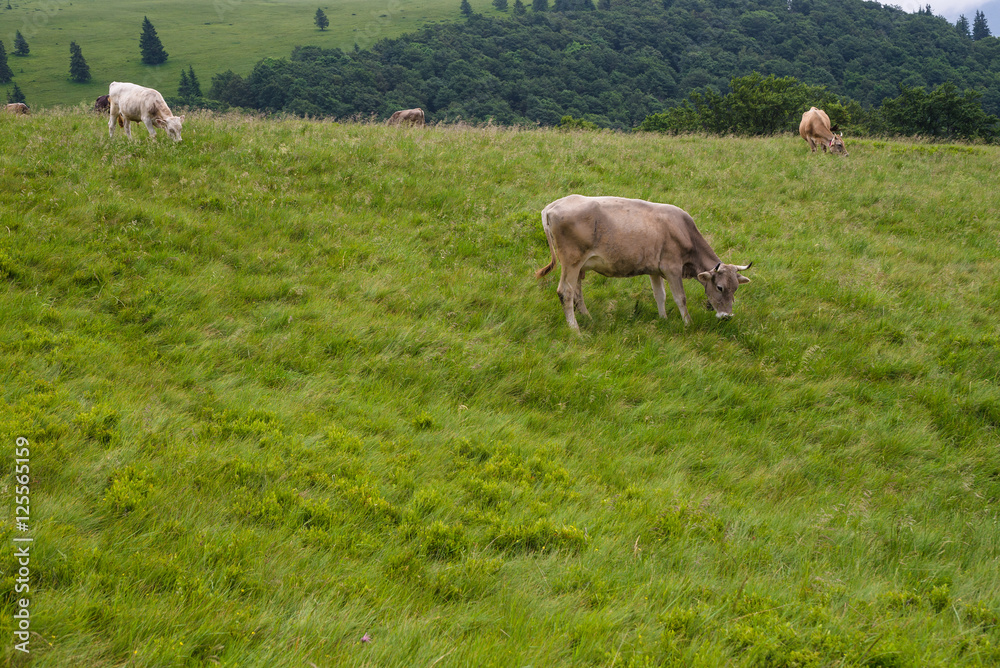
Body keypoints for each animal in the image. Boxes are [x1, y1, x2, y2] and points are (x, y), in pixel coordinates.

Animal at [540, 193, 752, 332]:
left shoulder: (655, 270)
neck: (684, 231)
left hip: (579, 265)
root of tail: (553, 205)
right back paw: (574, 329)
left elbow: (660, 295)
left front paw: (663, 319)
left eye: (735, 289)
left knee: (577, 292)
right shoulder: (672, 268)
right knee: (566, 292)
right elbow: (680, 298)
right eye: (719, 287)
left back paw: (587, 317)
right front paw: (688, 324)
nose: (727, 317)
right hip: (571, 261)